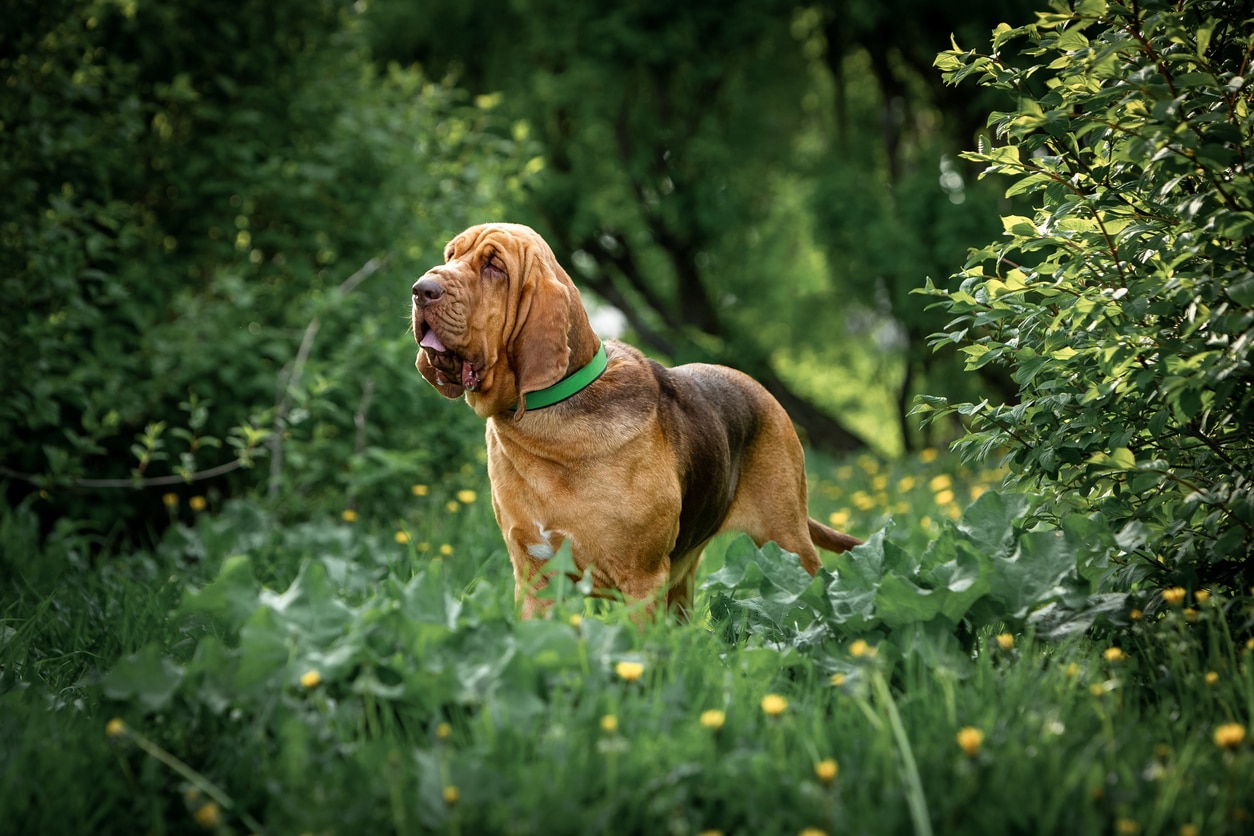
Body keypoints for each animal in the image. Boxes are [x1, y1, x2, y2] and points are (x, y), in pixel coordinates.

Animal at [413, 221, 862, 621]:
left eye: (495, 266)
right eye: (450, 256)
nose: (421, 290)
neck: (546, 426)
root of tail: (760, 388)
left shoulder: (640, 581)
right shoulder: (535, 582)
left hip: (789, 543)